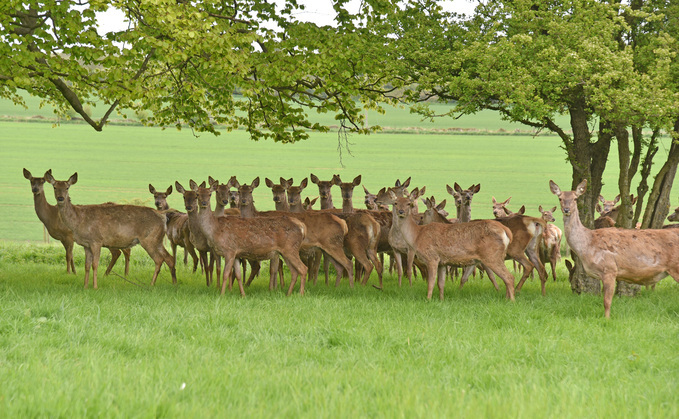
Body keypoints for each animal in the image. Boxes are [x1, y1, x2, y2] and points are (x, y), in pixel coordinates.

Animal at [45, 172, 176, 289]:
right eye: (55, 187)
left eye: (67, 187)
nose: (60, 198)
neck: (78, 221)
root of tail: (162, 216)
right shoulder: (86, 244)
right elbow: (86, 265)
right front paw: (85, 286)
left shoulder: (96, 240)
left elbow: (95, 264)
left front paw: (95, 286)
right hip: (157, 239)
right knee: (169, 257)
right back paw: (173, 283)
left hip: (149, 239)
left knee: (159, 259)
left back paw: (151, 284)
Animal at [176, 180, 307, 296]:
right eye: (197, 194)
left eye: (209, 194)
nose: (203, 203)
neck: (215, 230)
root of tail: (302, 227)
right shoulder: (236, 253)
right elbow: (238, 275)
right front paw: (242, 294)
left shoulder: (229, 250)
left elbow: (225, 273)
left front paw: (222, 294)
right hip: (284, 251)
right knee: (294, 271)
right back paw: (288, 294)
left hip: (290, 248)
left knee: (303, 268)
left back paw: (300, 294)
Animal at [385, 187, 516, 301]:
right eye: (395, 203)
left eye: (409, 203)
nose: (401, 211)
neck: (417, 236)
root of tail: (506, 231)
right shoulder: (442, 262)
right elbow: (440, 284)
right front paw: (441, 299)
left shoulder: (432, 257)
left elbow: (431, 282)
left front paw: (428, 299)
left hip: (492, 255)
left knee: (509, 277)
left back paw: (511, 301)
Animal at [550, 179, 679, 318]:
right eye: (560, 198)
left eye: (575, 198)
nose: (566, 209)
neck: (587, 245)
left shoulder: (609, 269)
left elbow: (607, 302)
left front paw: (607, 319)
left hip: (675, 266)